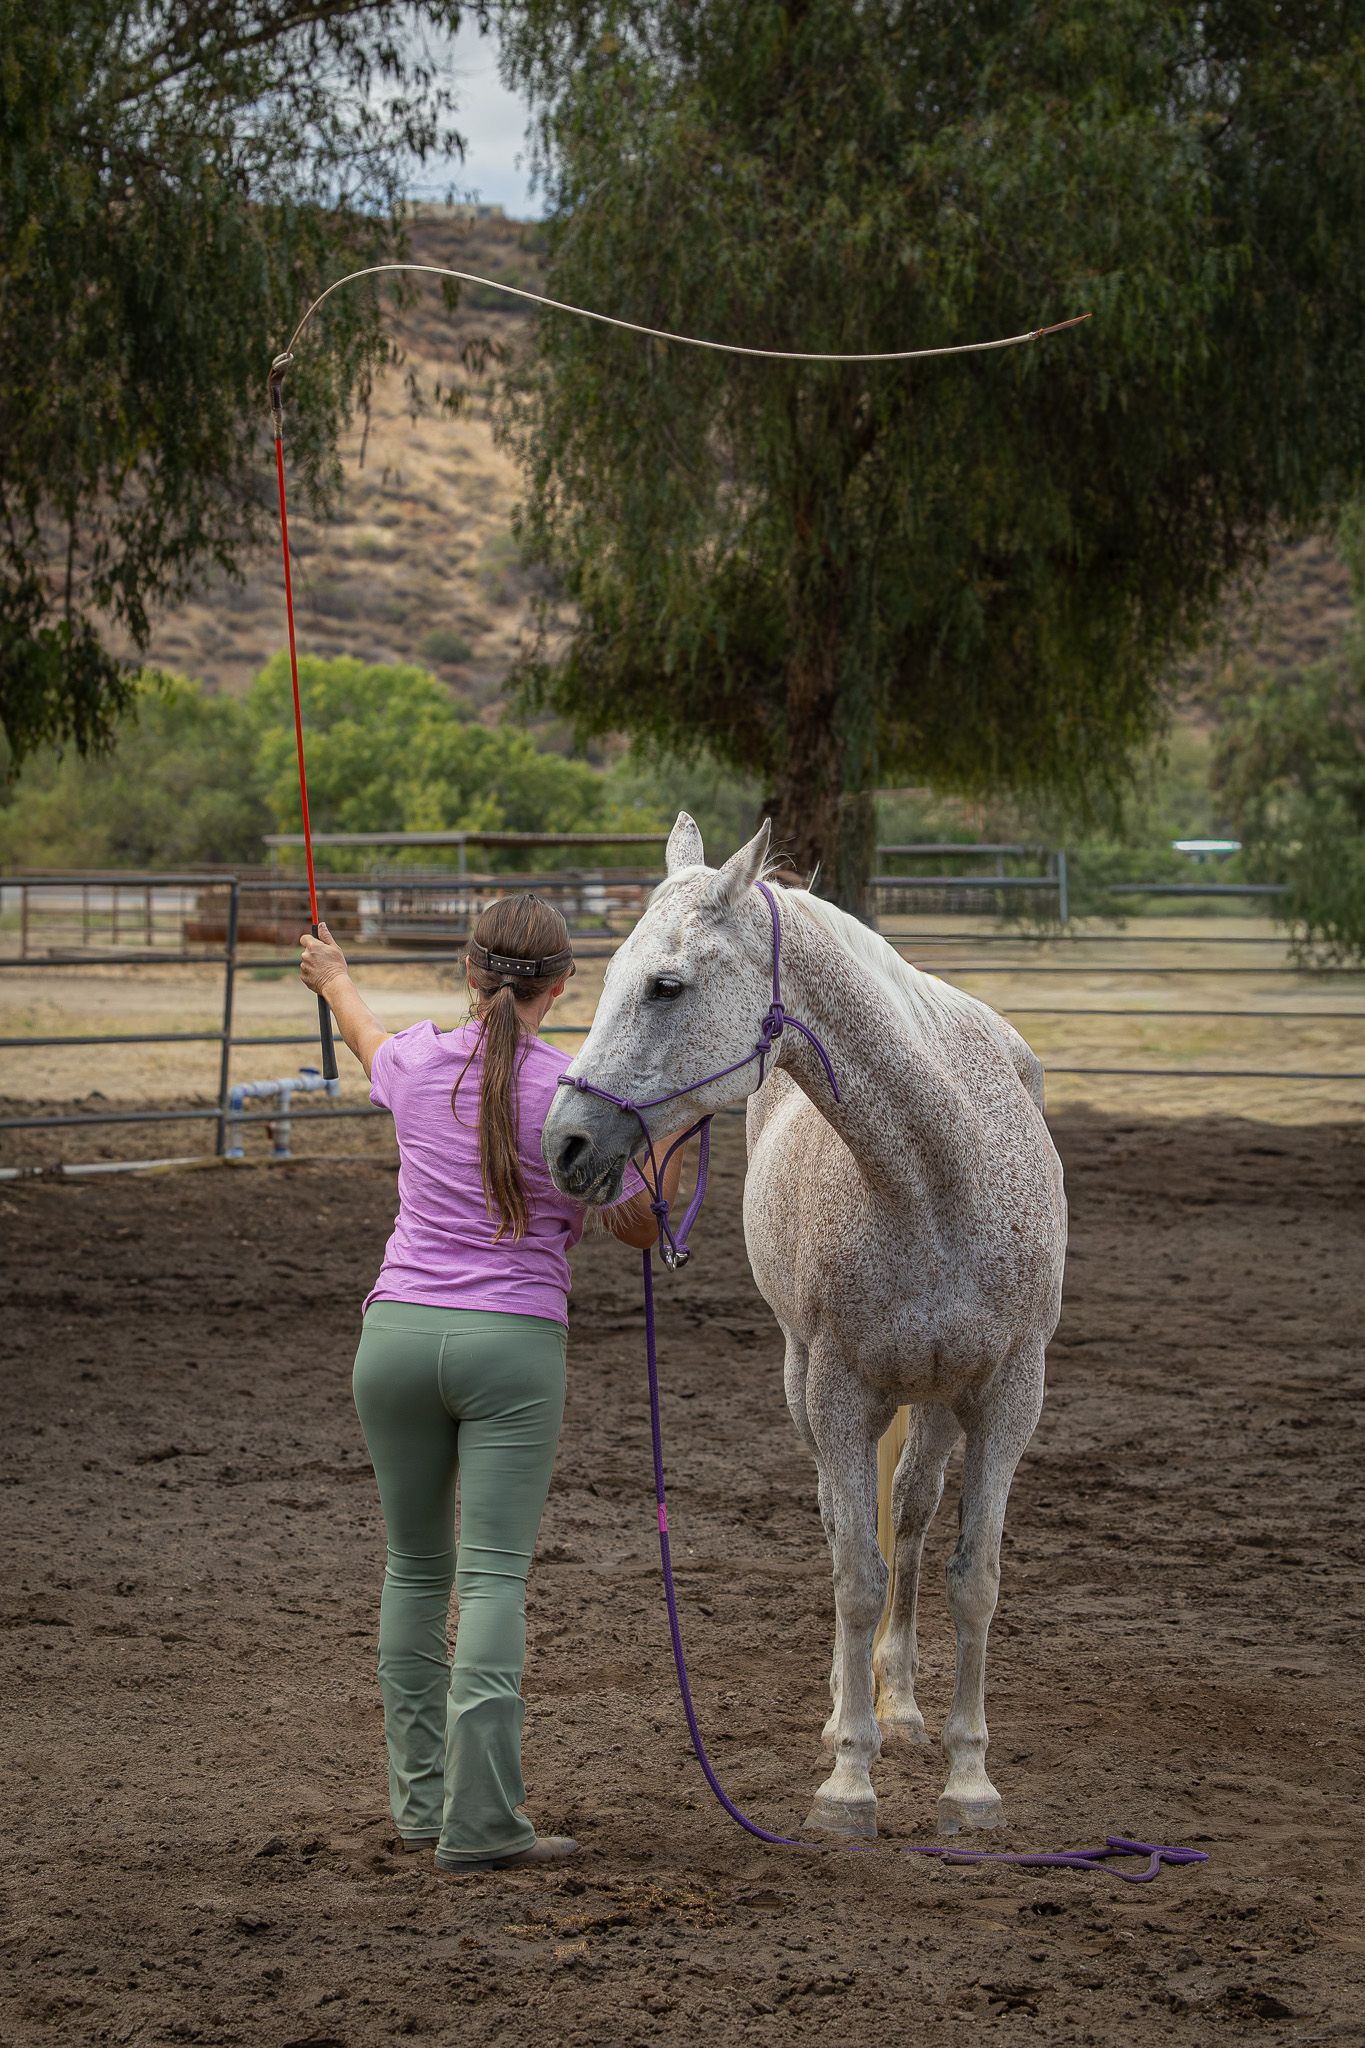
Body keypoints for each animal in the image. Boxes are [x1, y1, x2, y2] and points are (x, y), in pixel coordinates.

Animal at [542, 812, 1067, 1839]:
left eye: (665, 985)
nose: (564, 1142)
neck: (937, 1181)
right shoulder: (836, 1393)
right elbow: (852, 1574)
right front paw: (847, 1780)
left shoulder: (1005, 1398)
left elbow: (972, 1579)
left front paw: (968, 1779)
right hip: (807, 1386)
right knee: (842, 1529)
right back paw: (848, 1709)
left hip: (934, 1400)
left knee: (908, 1513)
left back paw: (901, 1703)